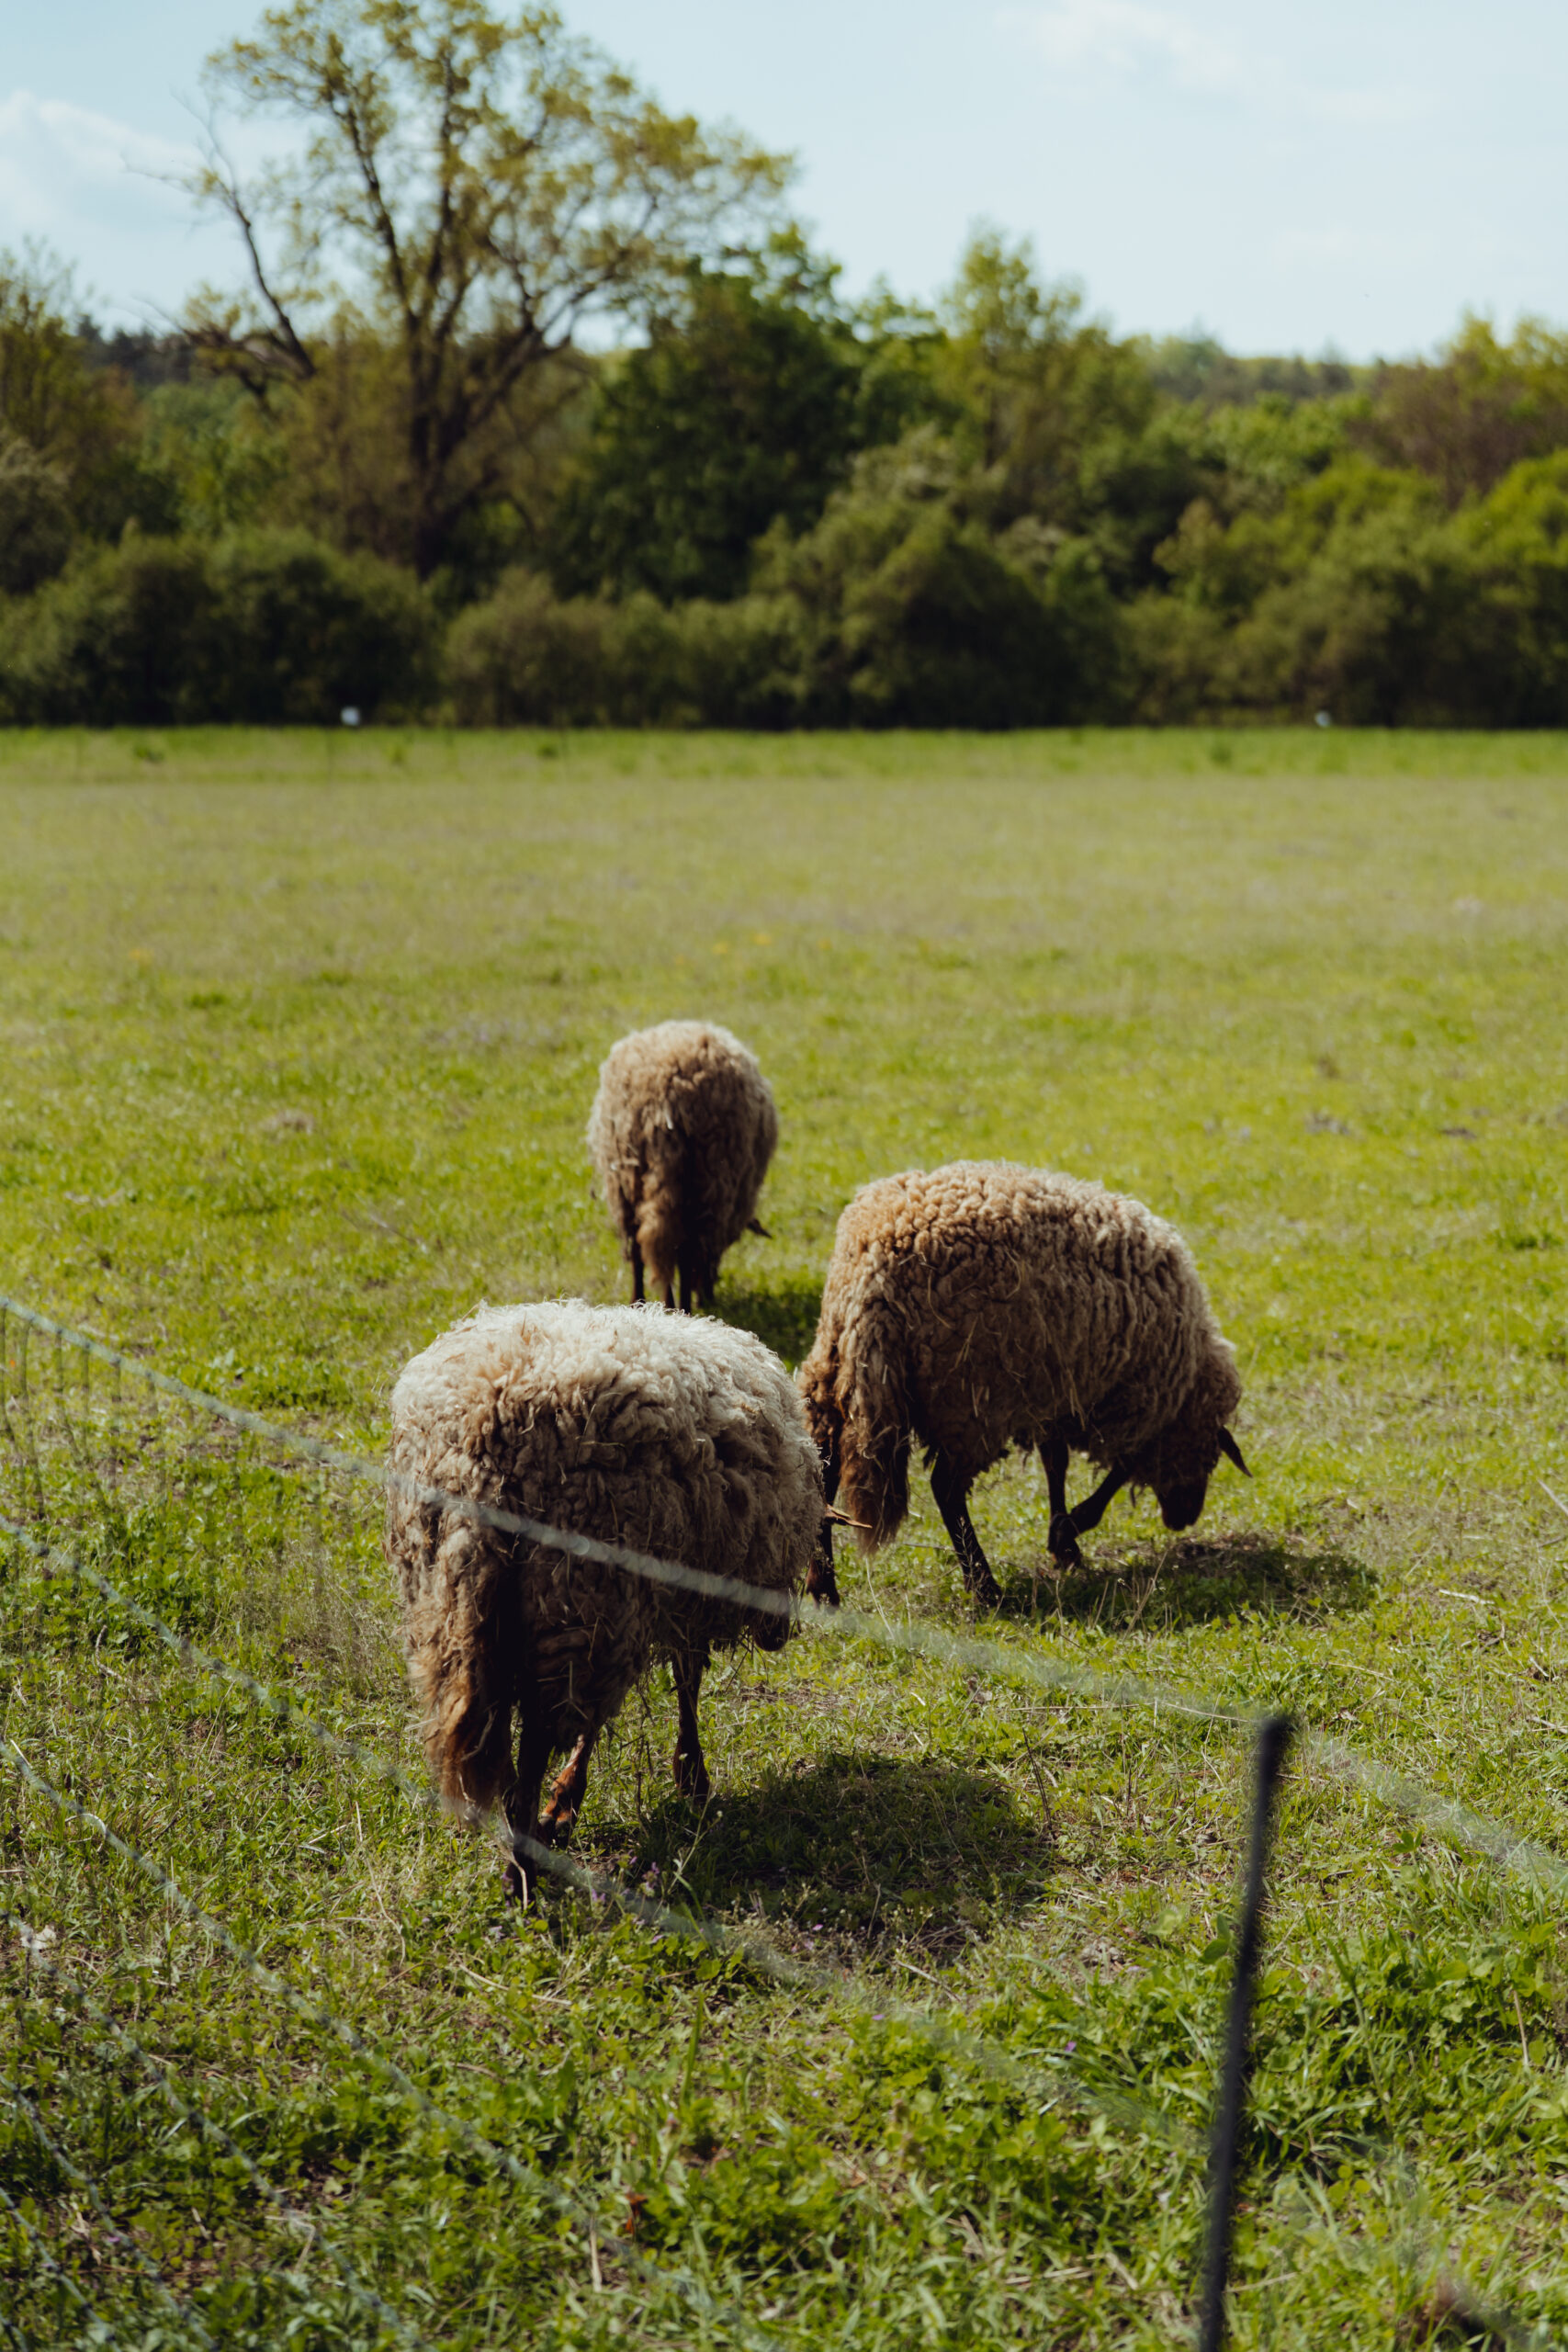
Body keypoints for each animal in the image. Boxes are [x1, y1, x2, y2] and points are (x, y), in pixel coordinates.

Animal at [386, 1299, 823, 1900]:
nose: (780, 1635)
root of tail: (491, 1441)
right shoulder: (662, 1597)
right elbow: (685, 1681)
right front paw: (685, 1778)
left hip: (462, 1610)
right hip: (576, 1598)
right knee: (538, 1746)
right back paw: (524, 1872)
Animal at [586, 1021, 778, 1311]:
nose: (707, 1294)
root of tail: (666, 1094)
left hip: (627, 1178)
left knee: (643, 1244)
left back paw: (642, 1302)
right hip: (705, 1182)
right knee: (684, 1250)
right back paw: (682, 1307)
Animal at [797, 1161, 1249, 1609]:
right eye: (1209, 1455)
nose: (1184, 1518)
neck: (1187, 1379)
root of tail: (876, 1270)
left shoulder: (1058, 1392)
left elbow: (1056, 1462)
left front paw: (1063, 1539)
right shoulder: (1132, 1397)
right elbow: (1118, 1470)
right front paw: (1072, 1528)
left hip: (834, 1370)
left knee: (823, 1468)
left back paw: (824, 1587)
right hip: (970, 1399)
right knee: (947, 1488)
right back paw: (984, 1587)